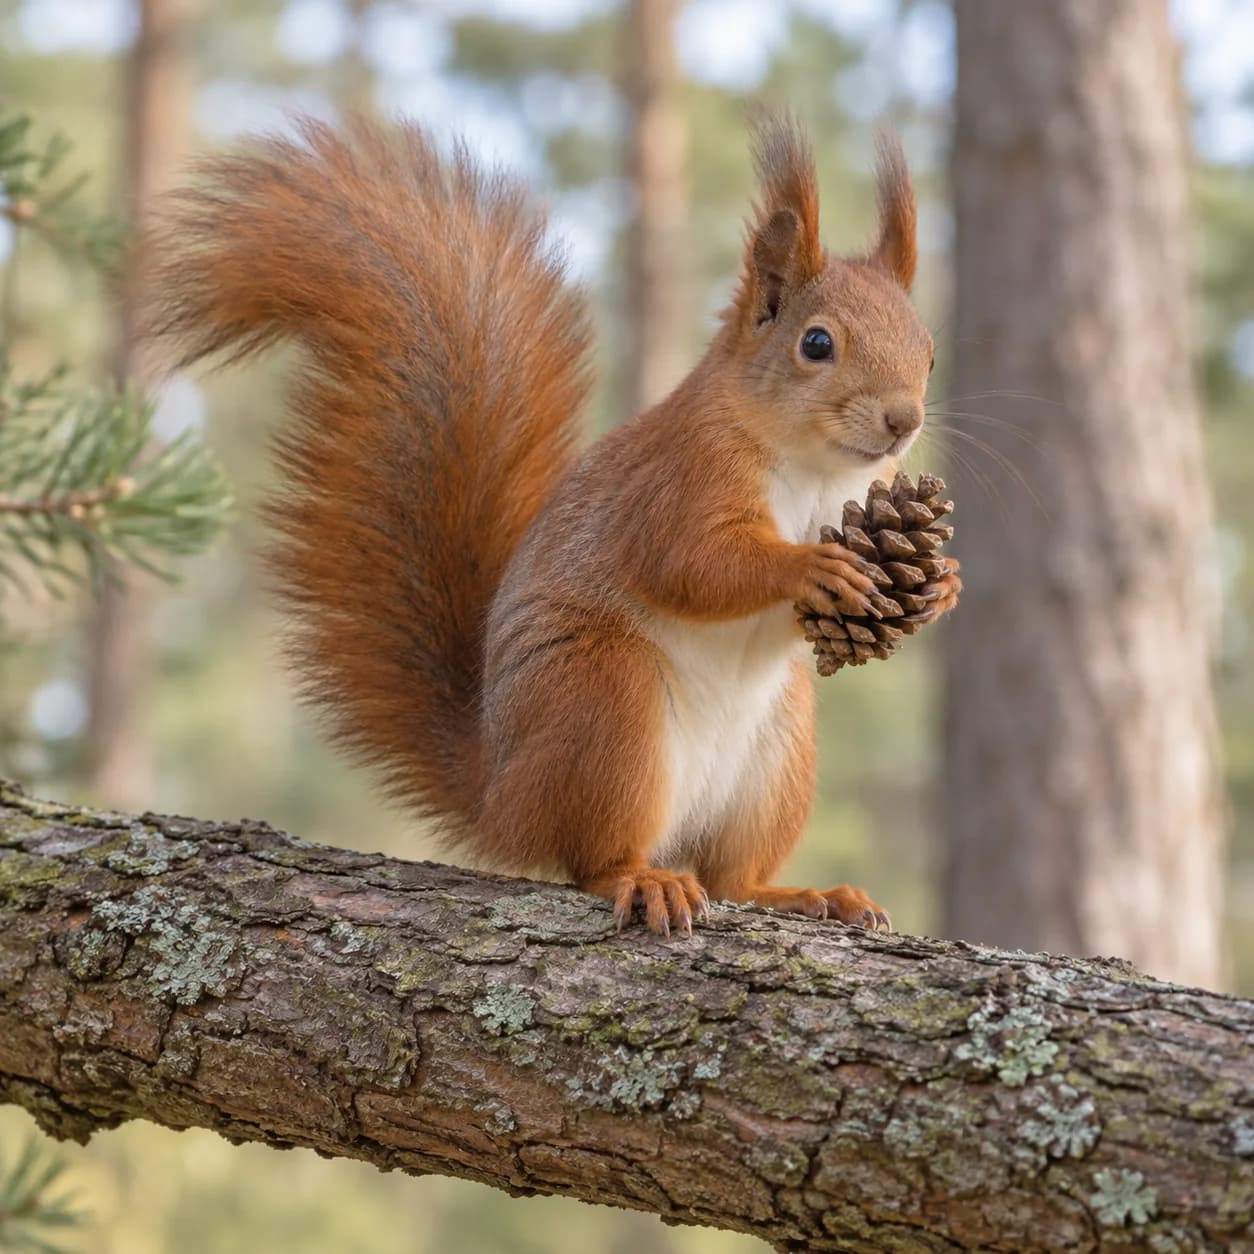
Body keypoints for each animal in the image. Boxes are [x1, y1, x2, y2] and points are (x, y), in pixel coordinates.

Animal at [146, 113, 959, 937]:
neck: (817, 471)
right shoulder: (678, 482)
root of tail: (499, 795)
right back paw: (643, 879)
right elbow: (693, 565)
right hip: (605, 702)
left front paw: (942, 585)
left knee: (733, 876)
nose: (903, 420)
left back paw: (803, 894)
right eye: (816, 343)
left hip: (777, 758)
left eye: (929, 354)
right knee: (591, 859)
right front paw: (813, 567)